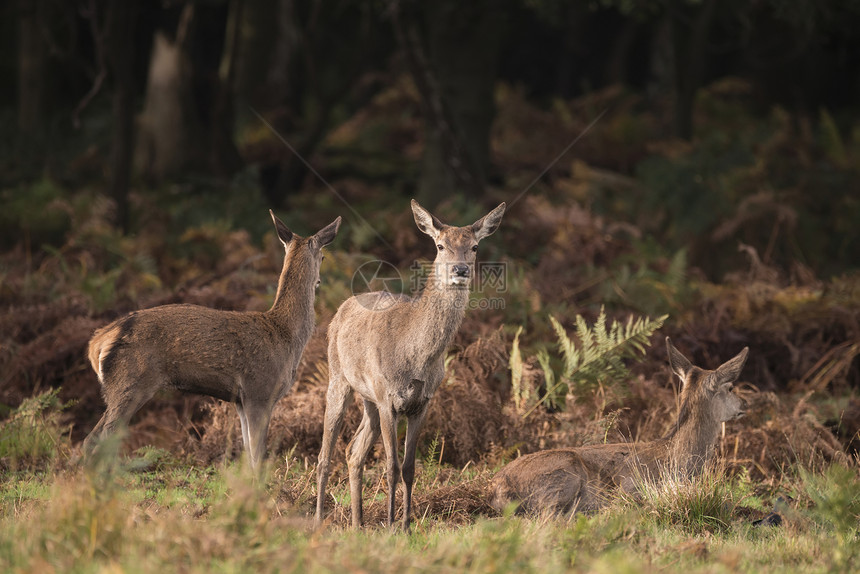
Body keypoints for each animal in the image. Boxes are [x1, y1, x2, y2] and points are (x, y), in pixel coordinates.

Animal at [81, 212, 340, 472]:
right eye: (323, 256)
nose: (319, 282)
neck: (285, 335)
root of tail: (97, 343)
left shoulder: (241, 400)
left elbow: (248, 453)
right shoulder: (260, 390)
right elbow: (258, 456)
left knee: (91, 438)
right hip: (131, 383)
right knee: (100, 438)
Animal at [314, 199, 504, 532]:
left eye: (475, 246)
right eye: (440, 246)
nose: (460, 269)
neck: (416, 358)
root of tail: (342, 308)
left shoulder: (422, 403)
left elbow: (409, 467)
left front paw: (406, 525)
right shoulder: (388, 397)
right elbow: (390, 466)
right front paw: (391, 525)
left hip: (368, 398)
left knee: (353, 452)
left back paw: (357, 524)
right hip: (339, 378)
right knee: (325, 455)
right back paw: (318, 521)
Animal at [490, 340, 744, 520]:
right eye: (731, 387)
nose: (745, 404)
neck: (679, 463)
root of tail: (497, 488)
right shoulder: (632, 488)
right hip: (563, 474)